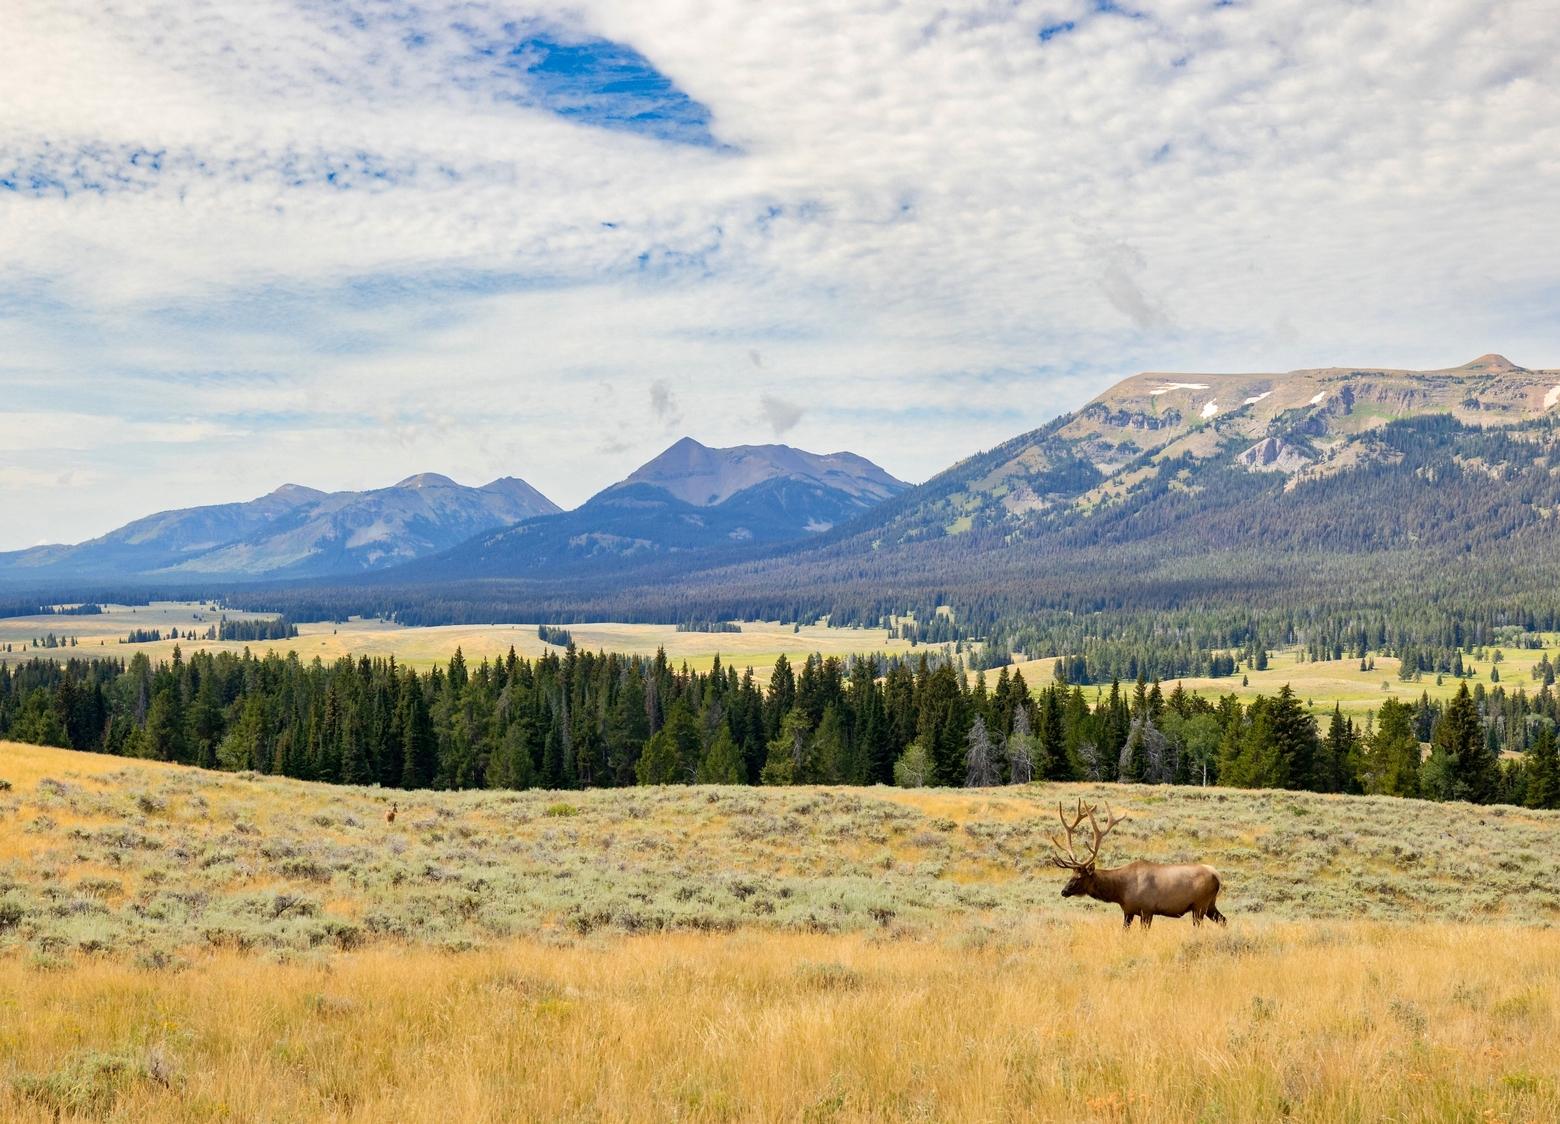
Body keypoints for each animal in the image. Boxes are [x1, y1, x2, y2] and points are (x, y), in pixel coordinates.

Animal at [1048, 798, 1229, 929]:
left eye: (1078, 877)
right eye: (1071, 874)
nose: (1064, 891)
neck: (1120, 891)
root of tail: (1217, 875)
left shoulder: (1147, 910)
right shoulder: (1128, 911)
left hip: (1200, 905)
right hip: (1210, 905)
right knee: (1224, 920)